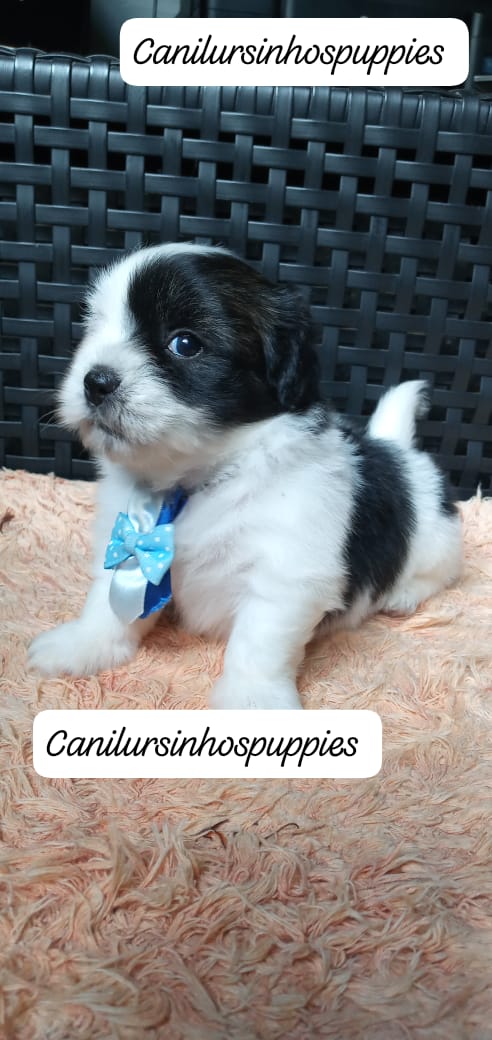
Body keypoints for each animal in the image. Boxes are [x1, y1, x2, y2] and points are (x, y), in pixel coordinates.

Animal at [29, 243, 463, 709]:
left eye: (184, 343)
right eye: (94, 328)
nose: (95, 381)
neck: (197, 481)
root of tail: (395, 447)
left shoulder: (286, 573)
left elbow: (258, 644)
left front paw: (253, 700)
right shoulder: (127, 538)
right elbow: (107, 604)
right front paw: (83, 646)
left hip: (435, 540)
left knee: (438, 572)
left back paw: (404, 593)